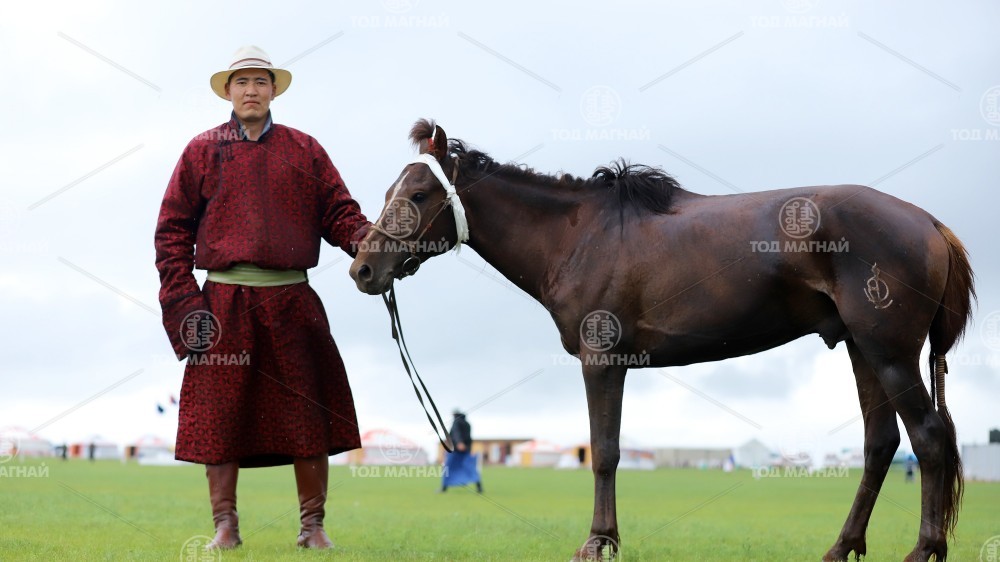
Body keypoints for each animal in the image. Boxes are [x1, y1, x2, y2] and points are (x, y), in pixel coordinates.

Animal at [348, 118, 972, 560]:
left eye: (420, 195)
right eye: (390, 190)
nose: (364, 269)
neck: (579, 235)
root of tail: (930, 223)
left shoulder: (602, 360)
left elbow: (604, 452)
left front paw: (598, 542)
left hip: (889, 354)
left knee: (929, 437)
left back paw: (923, 550)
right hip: (863, 350)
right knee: (880, 444)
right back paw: (841, 548)